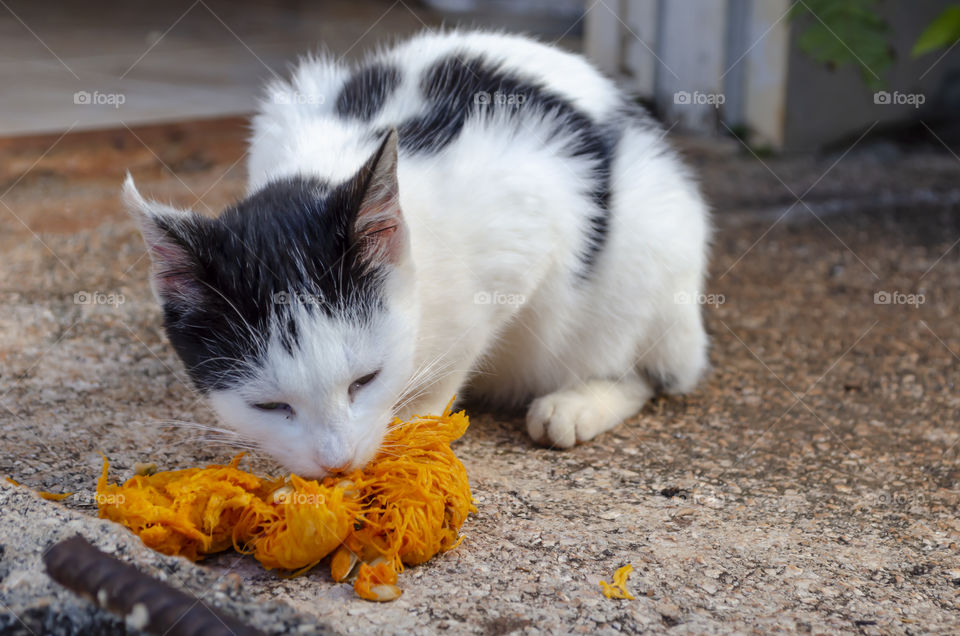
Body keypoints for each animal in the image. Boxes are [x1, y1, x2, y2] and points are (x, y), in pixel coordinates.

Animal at [124, 29, 708, 476]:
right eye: (269, 406)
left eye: (365, 380)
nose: (336, 463)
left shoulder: (530, 222)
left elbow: (461, 355)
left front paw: (417, 424)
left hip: (645, 260)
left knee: (651, 372)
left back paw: (576, 405)